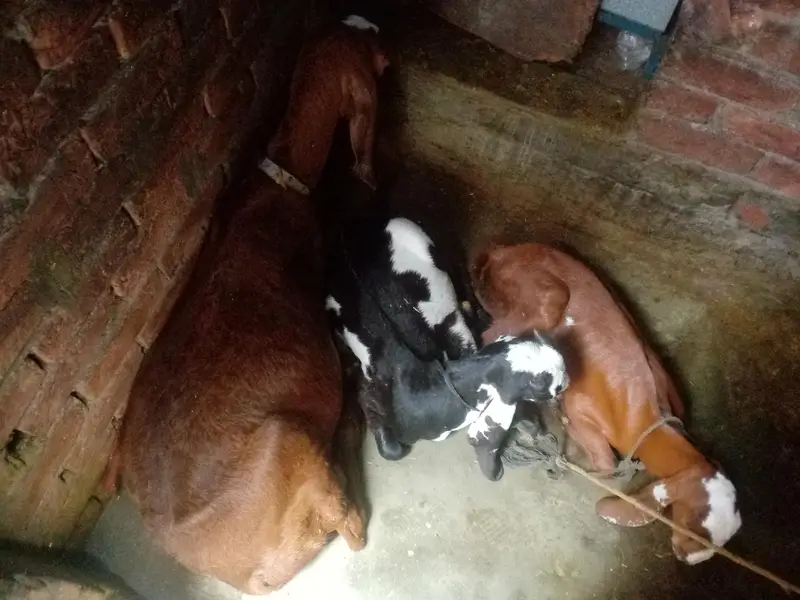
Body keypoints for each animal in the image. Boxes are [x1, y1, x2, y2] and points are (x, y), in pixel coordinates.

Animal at [472, 243, 741, 564]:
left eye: (721, 543)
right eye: (692, 523)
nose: (688, 558)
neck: (643, 415)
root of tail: (499, 251)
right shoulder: (580, 408)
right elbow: (605, 460)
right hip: (534, 294)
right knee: (491, 335)